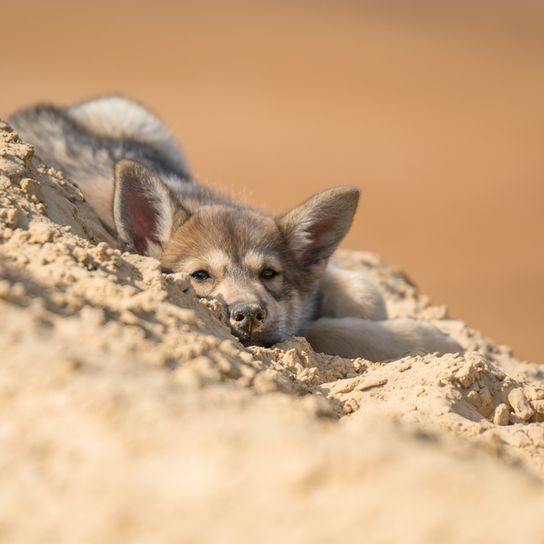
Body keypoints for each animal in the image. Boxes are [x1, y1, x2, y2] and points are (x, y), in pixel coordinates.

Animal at [8, 98, 462, 362]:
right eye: (200, 276)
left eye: (270, 274)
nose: (248, 314)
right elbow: (326, 330)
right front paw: (438, 341)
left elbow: (360, 292)